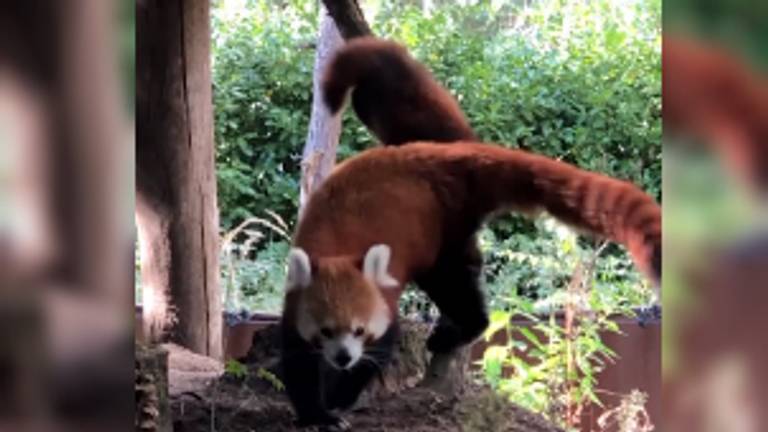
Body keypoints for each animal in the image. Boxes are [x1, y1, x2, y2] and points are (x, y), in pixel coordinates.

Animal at [280, 143, 660, 428]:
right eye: (326, 332)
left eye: (359, 330)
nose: (343, 357)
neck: (337, 250)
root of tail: (445, 153)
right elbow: (297, 362)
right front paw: (316, 413)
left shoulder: (382, 303)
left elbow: (379, 351)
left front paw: (340, 398)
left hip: (442, 225)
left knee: (454, 281)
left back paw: (461, 329)